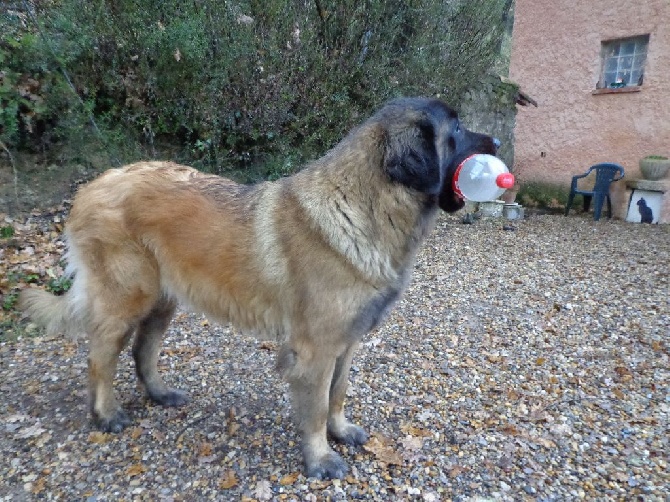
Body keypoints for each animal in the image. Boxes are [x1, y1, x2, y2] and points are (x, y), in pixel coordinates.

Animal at [18, 97, 502, 478]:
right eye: (457, 130)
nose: (498, 145)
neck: (366, 205)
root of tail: (92, 185)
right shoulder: (315, 349)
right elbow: (315, 407)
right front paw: (320, 459)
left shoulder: (346, 342)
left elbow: (338, 392)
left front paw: (340, 431)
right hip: (126, 297)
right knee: (100, 358)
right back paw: (106, 415)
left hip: (163, 300)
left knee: (142, 350)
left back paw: (159, 394)